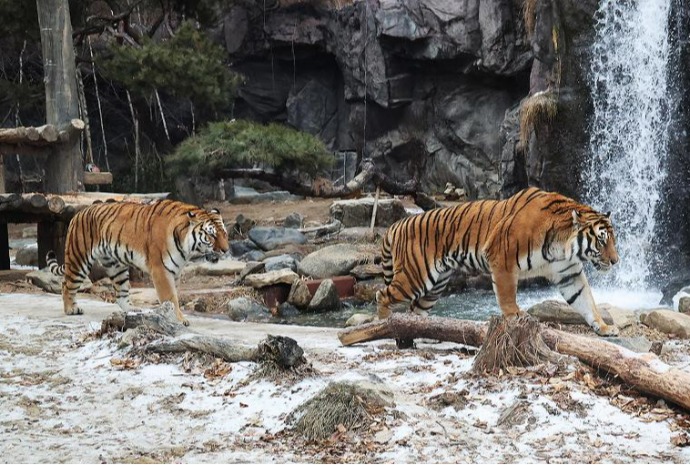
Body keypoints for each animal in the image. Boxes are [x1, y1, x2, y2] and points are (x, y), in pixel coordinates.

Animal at [46, 199, 229, 326]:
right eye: (211, 235)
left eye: (225, 234)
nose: (226, 250)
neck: (187, 248)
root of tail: (78, 213)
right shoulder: (161, 270)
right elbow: (170, 297)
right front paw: (178, 319)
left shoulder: (175, 271)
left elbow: (174, 296)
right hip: (79, 259)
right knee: (66, 284)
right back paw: (71, 309)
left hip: (116, 266)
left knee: (120, 294)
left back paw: (132, 310)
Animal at [376, 187, 620, 337]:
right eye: (601, 240)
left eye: (613, 240)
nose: (616, 261)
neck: (563, 248)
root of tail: (396, 225)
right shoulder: (503, 258)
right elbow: (507, 294)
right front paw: (515, 315)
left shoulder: (569, 274)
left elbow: (587, 301)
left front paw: (604, 327)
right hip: (415, 277)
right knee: (382, 295)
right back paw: (384, 325)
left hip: (435, 287)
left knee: (414, 310)